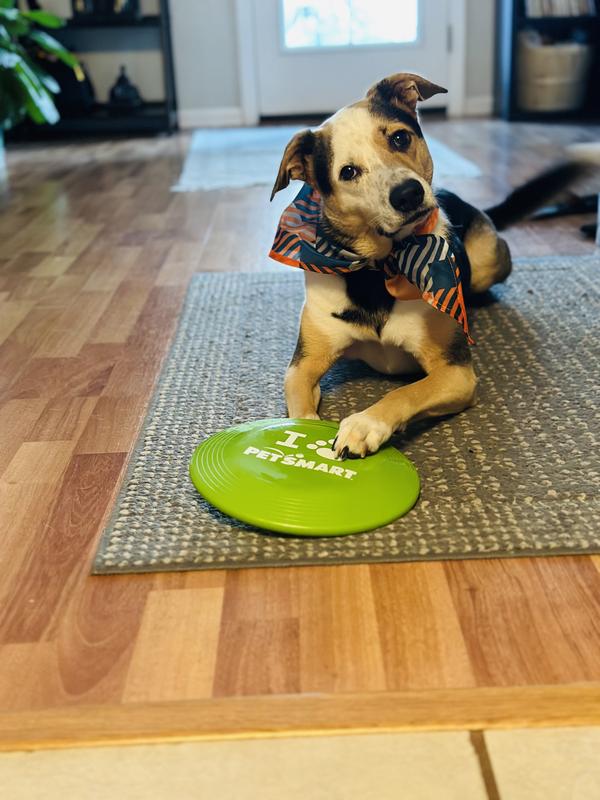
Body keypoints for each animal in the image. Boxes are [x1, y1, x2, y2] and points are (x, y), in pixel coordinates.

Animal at [272, 72, 596, 460]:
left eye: (399, 137)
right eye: (347, 172)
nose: (408, 194)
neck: (382, 267)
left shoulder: (456, 374)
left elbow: (405, 391)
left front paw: (366, 424)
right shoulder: (303, 364)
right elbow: (299, 403)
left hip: (488, 259)